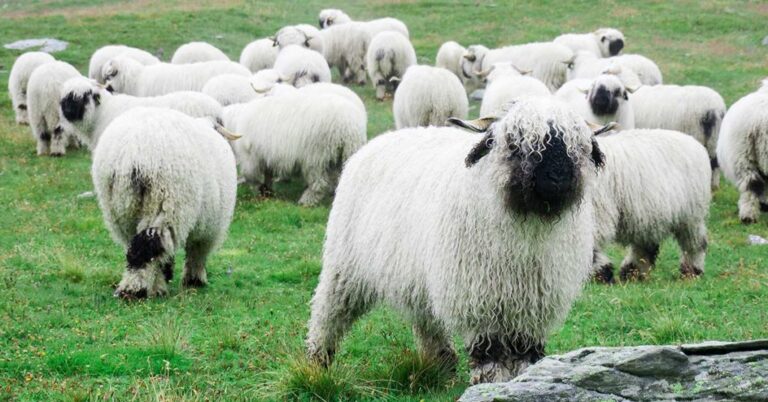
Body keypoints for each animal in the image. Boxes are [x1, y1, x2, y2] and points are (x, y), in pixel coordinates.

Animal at [91, 107, 237, 299]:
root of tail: (131, 153)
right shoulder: (209, 229)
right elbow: (197, 253)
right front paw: (195, 280)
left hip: (120, 211)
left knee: (137, 249)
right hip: (167, 203)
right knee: (146, 246)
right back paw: (134, 290)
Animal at [229, 92, 367, 206]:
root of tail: (348, 126)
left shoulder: (251, 157)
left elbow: (251, 176)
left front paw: (261, 190)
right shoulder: (267, 156)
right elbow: (268, 174)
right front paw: (268, 191)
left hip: (316, 157)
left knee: (319, 184)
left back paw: (306, 201)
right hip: (344, 155)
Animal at [306, 97, 606, 385]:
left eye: (580, 147)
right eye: (514, 144)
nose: (557, 179)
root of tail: (381, 139)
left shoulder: (533, 305)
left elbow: (525, 351)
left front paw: (523, 378)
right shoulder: (479, 299)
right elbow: (490, 353)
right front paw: (491, 384)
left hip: (418, 278)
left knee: (427, 321)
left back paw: (442, 364)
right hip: (344, 266)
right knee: (329, 313)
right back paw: (317, 362)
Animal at [592, 129, 710, 283]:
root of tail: (695, 143)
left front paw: (602, 275)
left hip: (690, 215)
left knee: (695, 243)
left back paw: (691, 271)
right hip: (648, 214)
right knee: (645, 246)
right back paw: (632, 272)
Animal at [716, 82, 768, 223]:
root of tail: (759, 119)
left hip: (743, 156)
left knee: (751, 185)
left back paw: (748, 216)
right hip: (744, 157)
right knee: (751, 185)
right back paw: (749, 216)